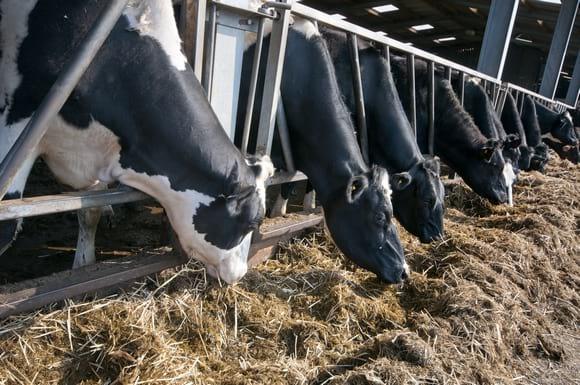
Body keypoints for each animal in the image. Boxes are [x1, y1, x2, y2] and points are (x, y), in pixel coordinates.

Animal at [0, 0, 274, 282]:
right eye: (254, 221)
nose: (241, 273)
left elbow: (89, 211)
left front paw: (83, 265)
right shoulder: (19, 115)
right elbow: (7, 225)